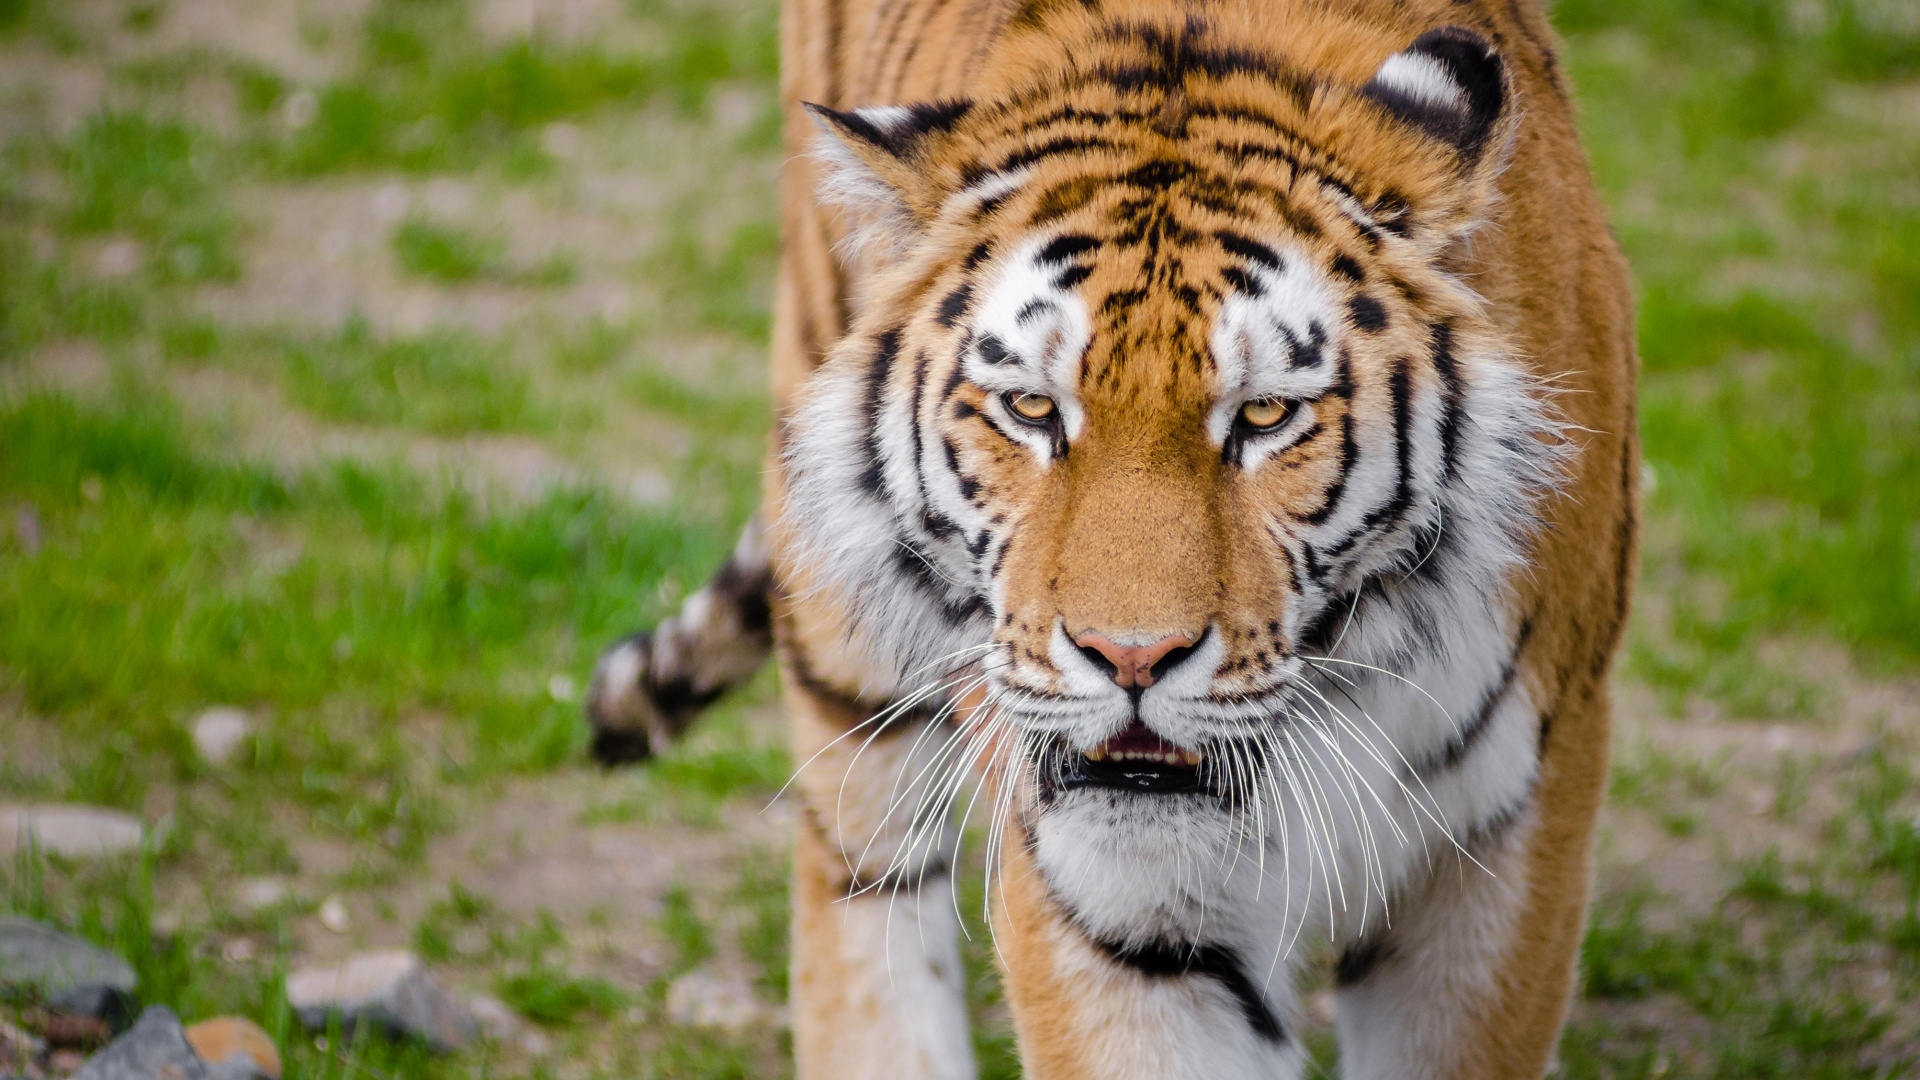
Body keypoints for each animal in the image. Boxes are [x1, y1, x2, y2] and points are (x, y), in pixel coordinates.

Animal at [579, 0, 1635, 1068]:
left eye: (1263, 417)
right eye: (1032, 408)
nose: (1131, 658)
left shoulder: (1509, 847)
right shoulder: (1109, 902)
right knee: (858, 871)